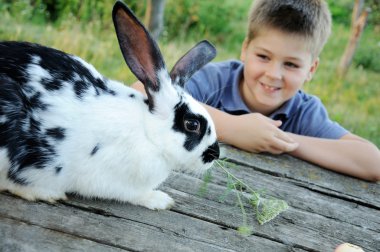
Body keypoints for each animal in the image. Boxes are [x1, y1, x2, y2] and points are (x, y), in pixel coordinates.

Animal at [0, 0, 220, 210]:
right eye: (192, 124)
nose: (215, 154)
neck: (148, 132)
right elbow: (138, 195)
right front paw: (161, 200)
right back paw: (45, 193)